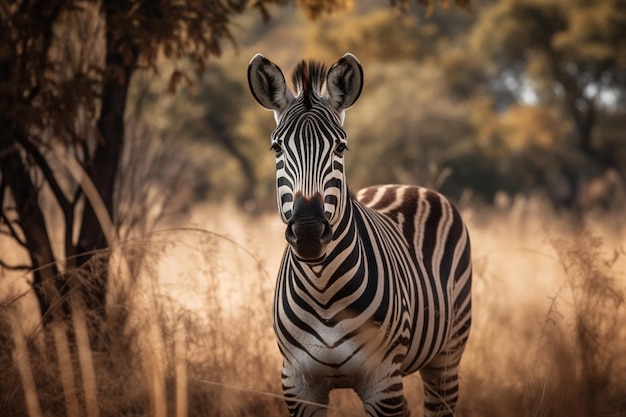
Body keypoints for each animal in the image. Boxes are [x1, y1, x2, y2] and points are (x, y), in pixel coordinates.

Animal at [246, 53, 470, 414]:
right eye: (277, 149)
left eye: (340, 147)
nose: (308, 232)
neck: (322, 288)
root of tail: (403, 185)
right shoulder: (297, 384)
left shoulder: (382, 381)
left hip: (447, 355)